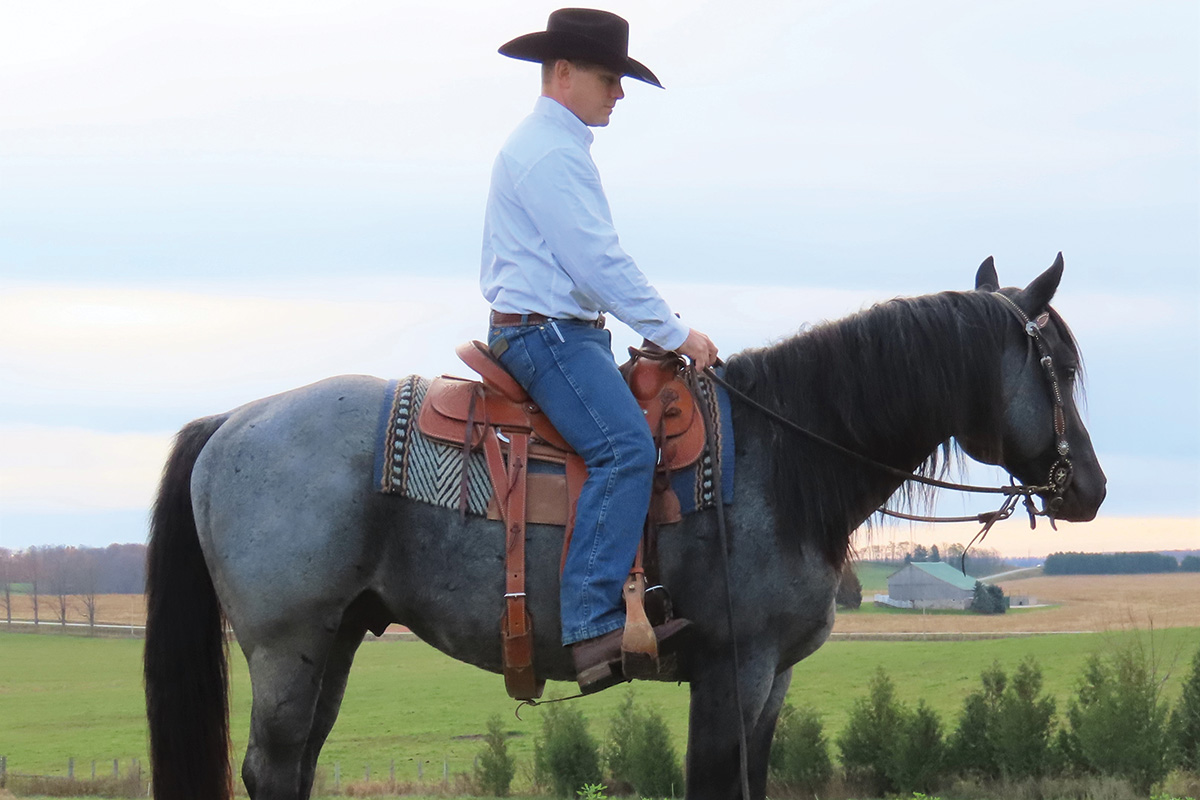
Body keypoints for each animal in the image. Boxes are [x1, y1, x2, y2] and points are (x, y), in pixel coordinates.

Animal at [140, 257, 1104, 800]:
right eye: (1056, 366)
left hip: (334, 641)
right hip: (285, 646)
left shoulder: (773, 680)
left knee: (296, 766)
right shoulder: (730, 668)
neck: (782, 456)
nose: (1089, 488)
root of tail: (229, 422)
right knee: (272, 770)